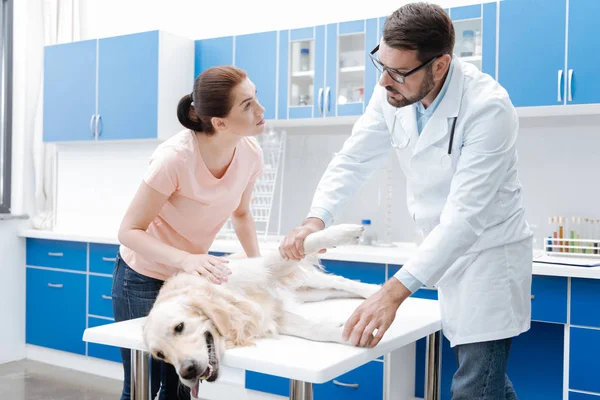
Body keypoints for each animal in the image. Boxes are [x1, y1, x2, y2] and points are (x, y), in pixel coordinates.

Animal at [142, 223, 380, 398]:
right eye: (160, 355)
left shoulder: (266, 268)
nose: (186, 371)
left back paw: (374, 290)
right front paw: (348, 334)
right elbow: (315, 330)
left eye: (179, 327)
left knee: (341, 281)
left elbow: (307, 242)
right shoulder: (273, 316)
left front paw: (344, 232)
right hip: (310, 292)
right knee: (334, 289)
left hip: (308, 280)